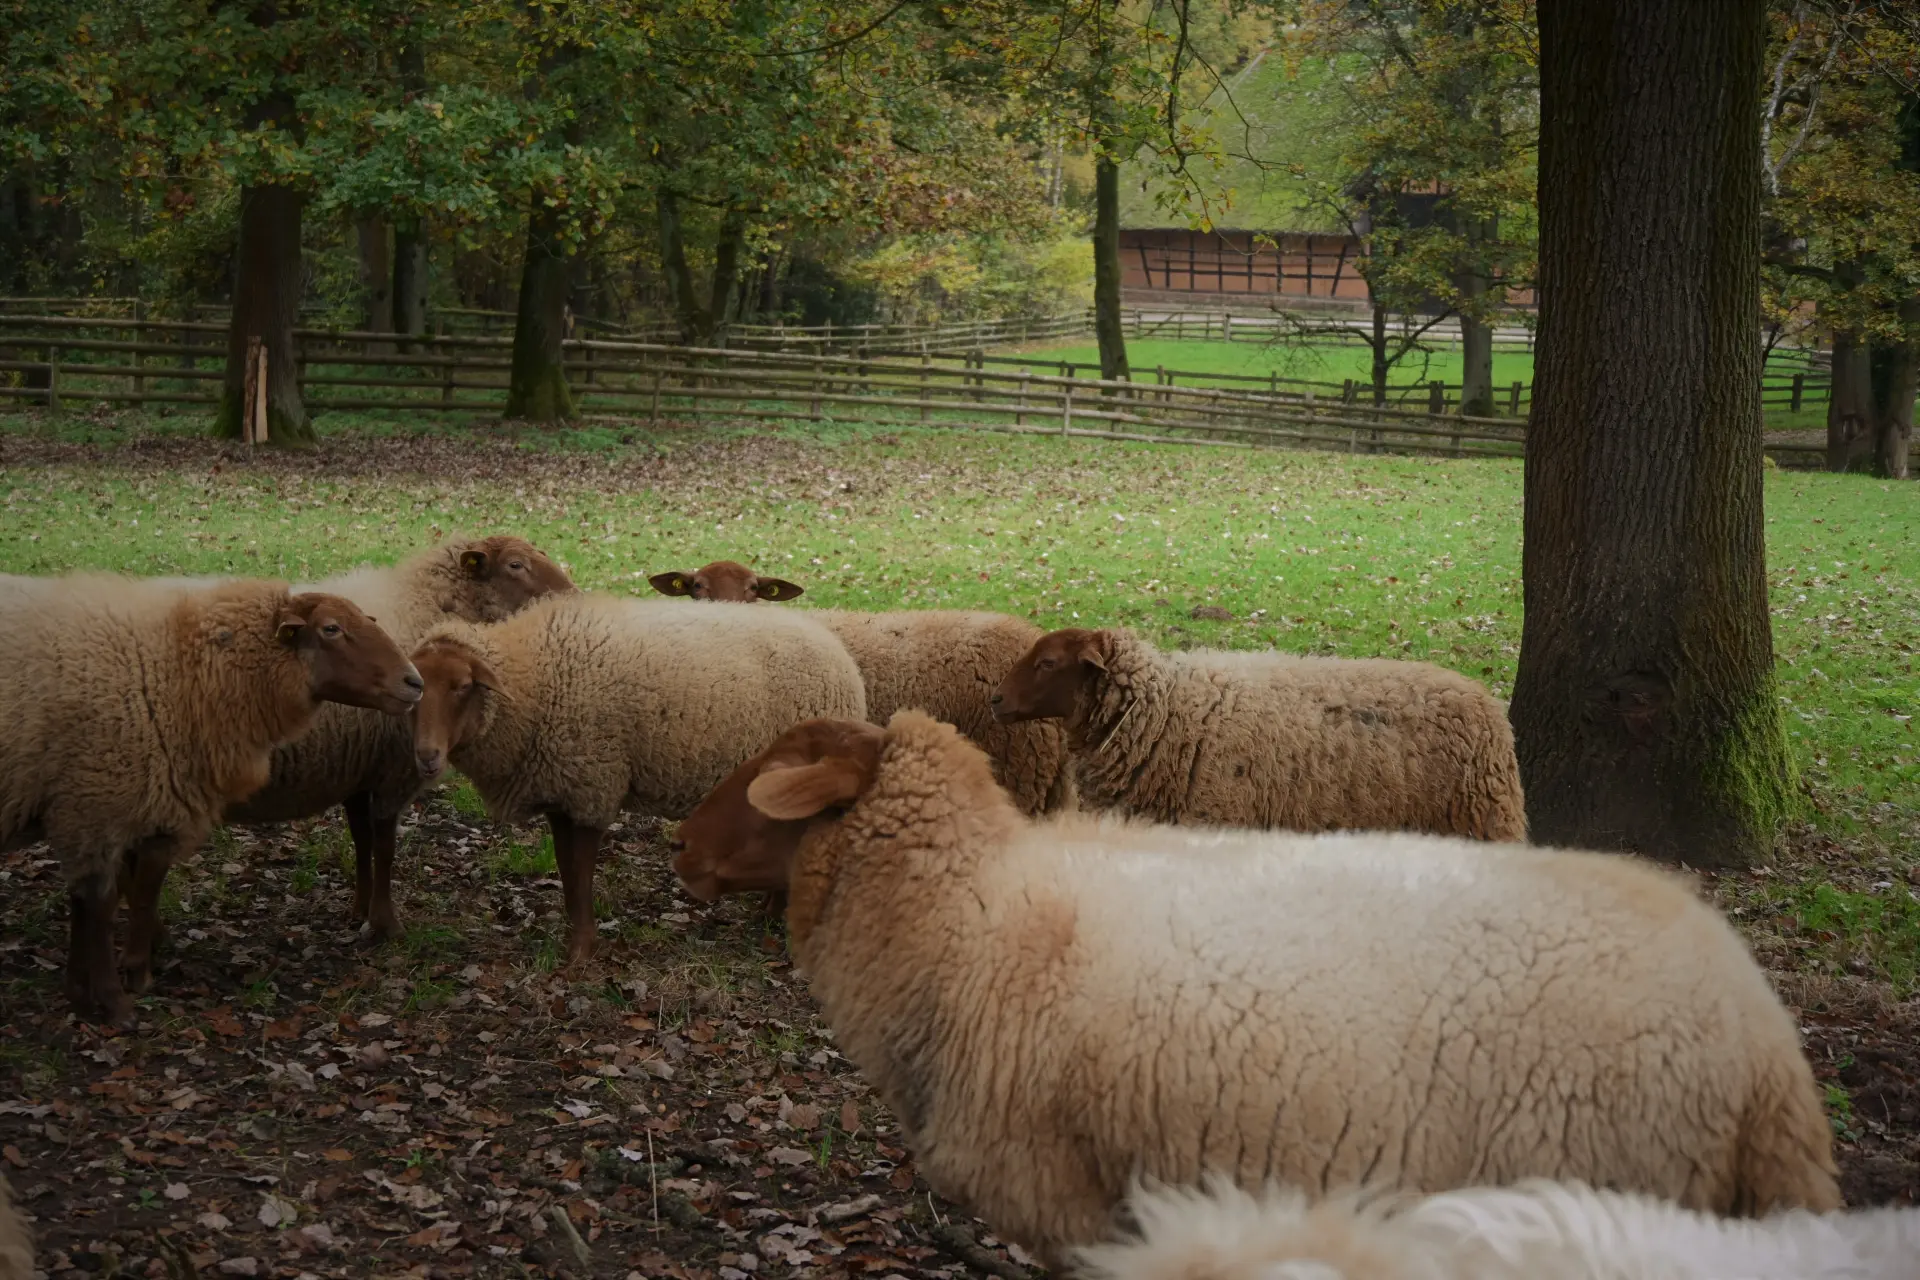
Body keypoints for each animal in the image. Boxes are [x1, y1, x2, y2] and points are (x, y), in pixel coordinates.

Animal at [0, 575, 423, 1026]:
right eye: (331, 628)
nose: (415, 682)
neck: (179, 670)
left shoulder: (115, 810)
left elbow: (99, 900)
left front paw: (84, 993)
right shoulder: (98, 806)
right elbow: (111, 900)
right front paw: (120, 993)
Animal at [223, 535, 573, 940]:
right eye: (515, 565)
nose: (574, 597)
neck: (425, 605)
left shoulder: (356, 765)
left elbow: (361, 839)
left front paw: (360, 909)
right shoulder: (395, 765)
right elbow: (385, 845)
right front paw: (385, 923)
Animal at [409, 594, 865, 963]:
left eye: (462, 686)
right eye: (416, 688)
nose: (426, 756)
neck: (535, 678)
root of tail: (837, 652)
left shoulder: (592, 784)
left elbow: (579, 875)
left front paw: (580, 954)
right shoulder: (563, 790)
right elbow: (566, 870)